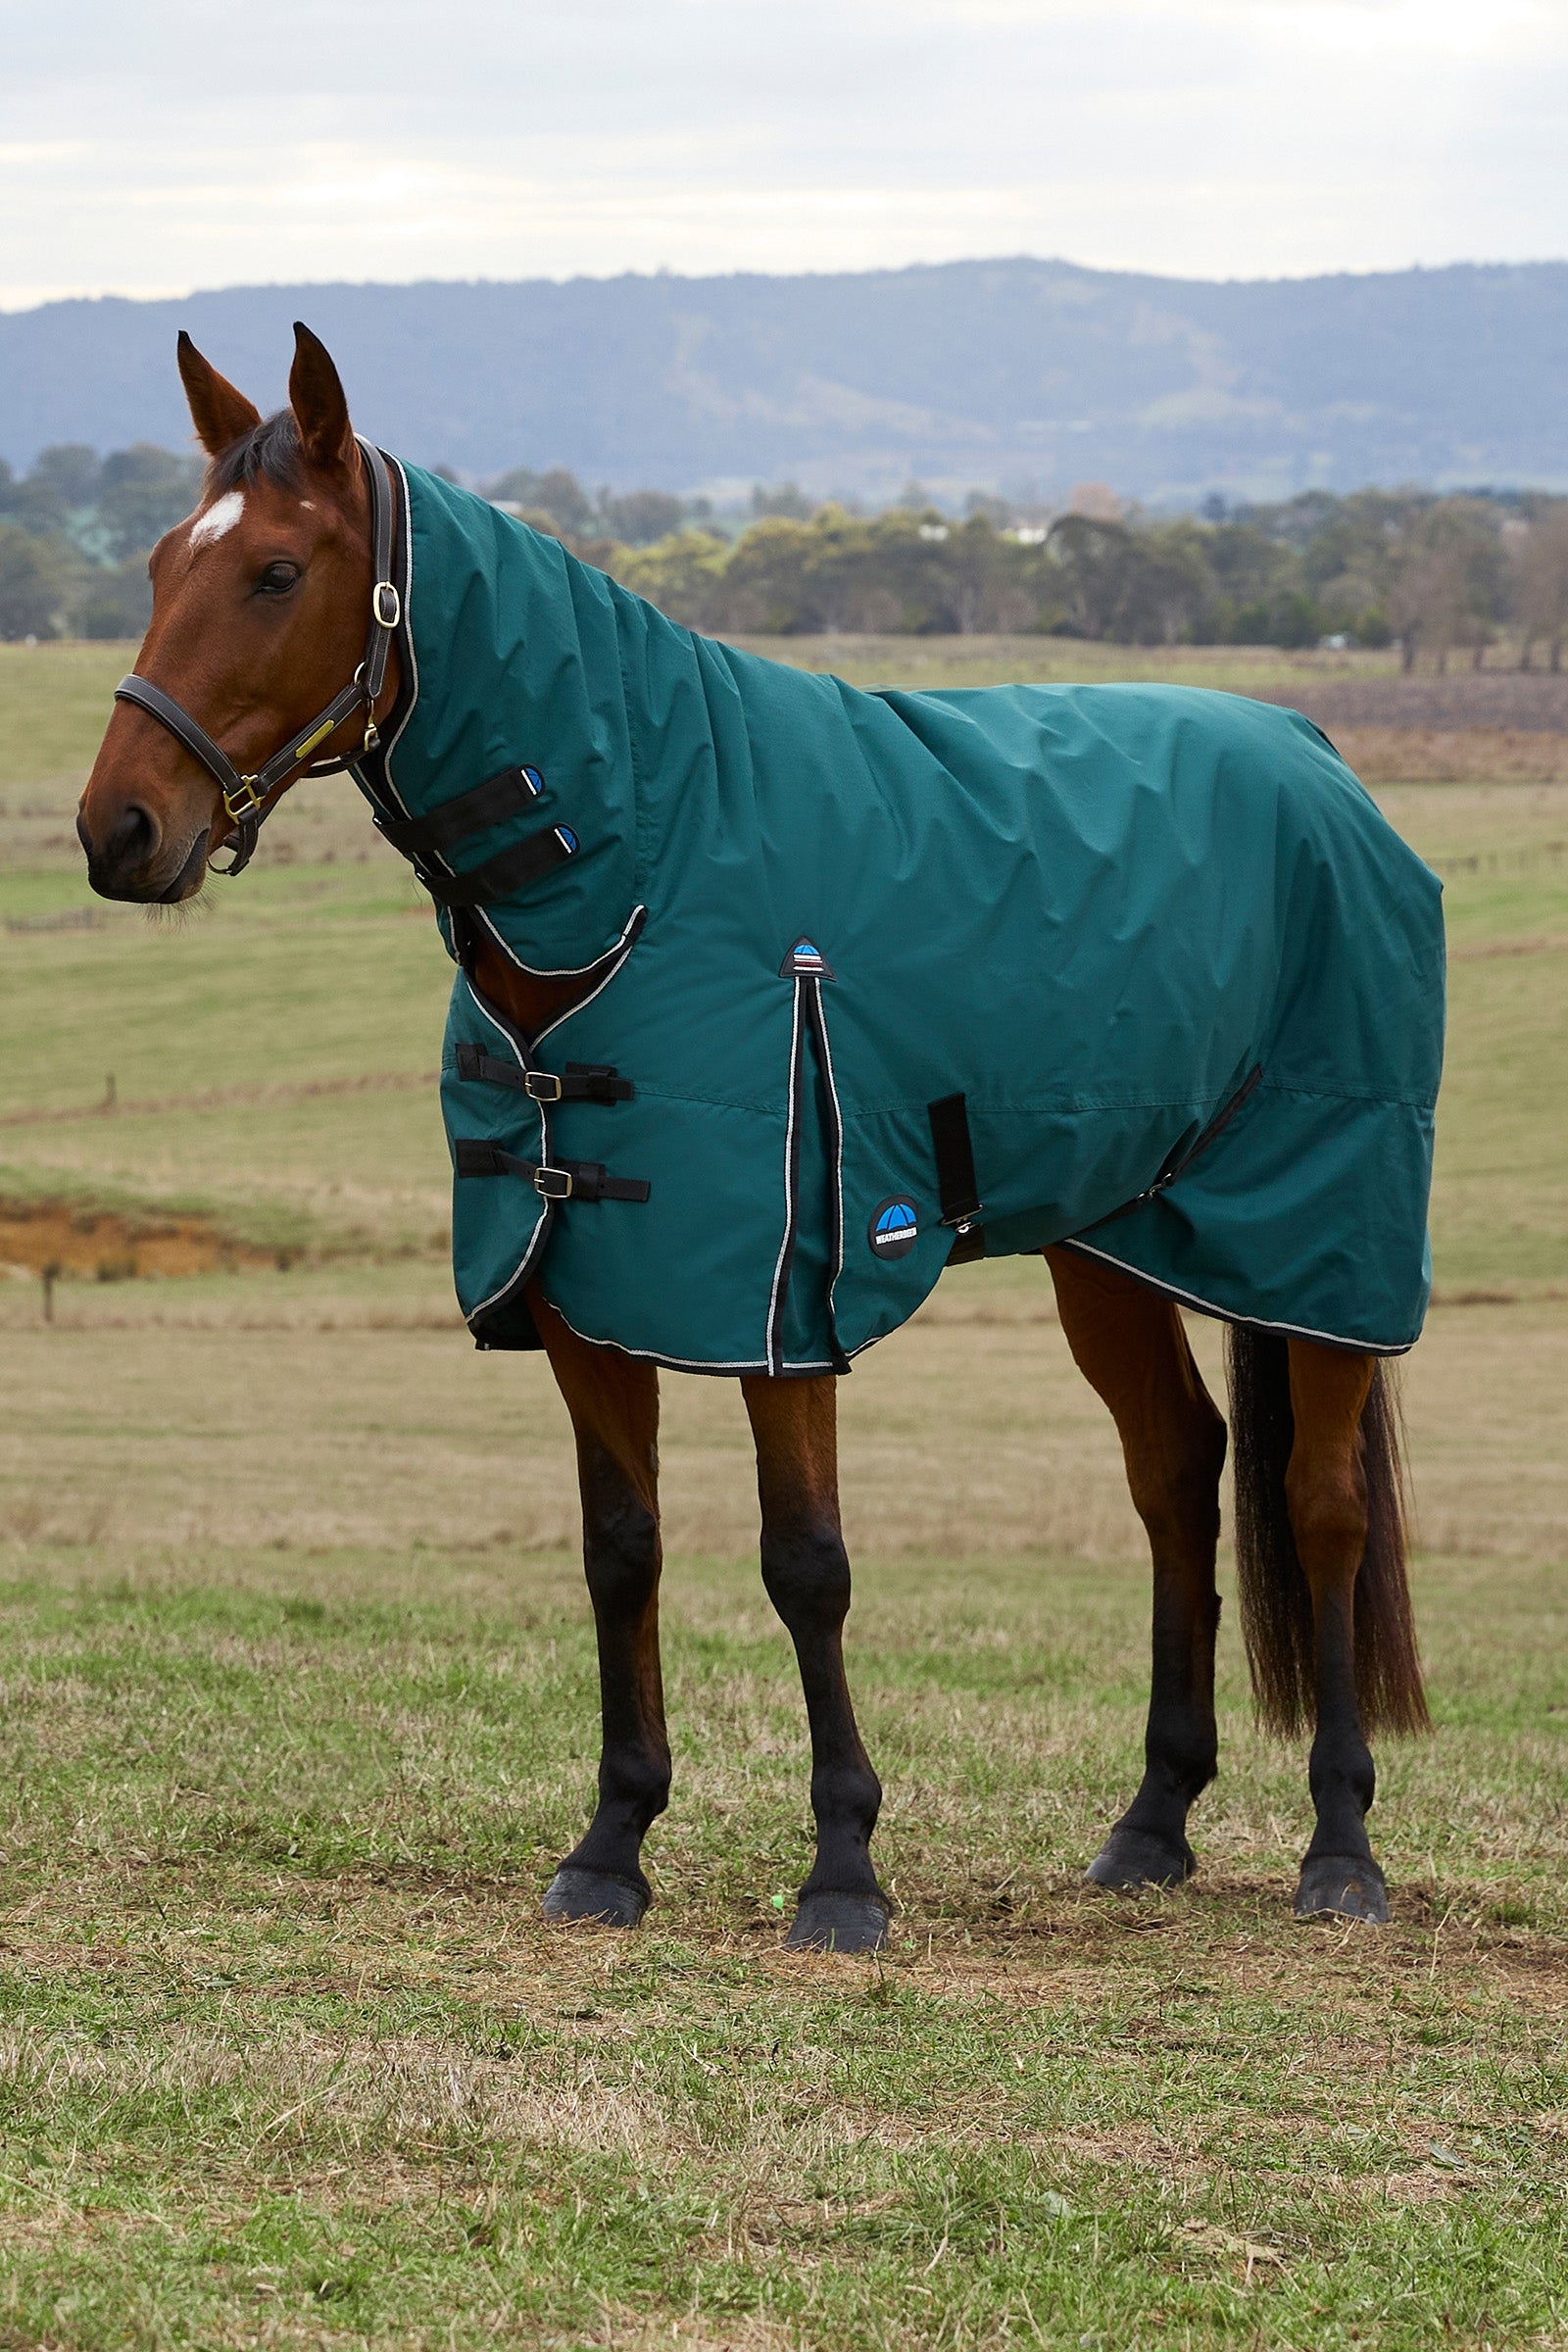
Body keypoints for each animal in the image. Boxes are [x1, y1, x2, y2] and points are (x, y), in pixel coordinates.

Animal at [76, 324, 1437, 1950]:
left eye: (276, 572)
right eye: (163, 560)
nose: (115, 831)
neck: (645, 866)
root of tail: (1318, 755)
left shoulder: (784, 1296)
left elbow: (807, 1565)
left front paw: (843, 1867)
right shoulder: (588, 1284)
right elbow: (621, 1553)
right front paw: (612, 1843)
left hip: (1318, 1244)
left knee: (1320, 1507)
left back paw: (1341, 1848)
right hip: (1113, 1242)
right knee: (1179, 1475)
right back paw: (1153, 1820)